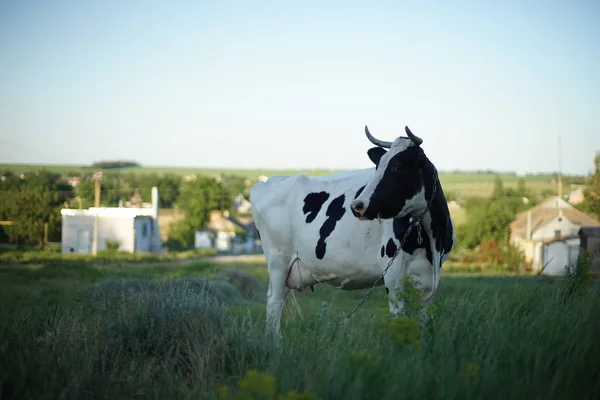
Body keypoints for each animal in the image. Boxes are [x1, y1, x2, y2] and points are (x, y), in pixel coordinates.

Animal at [248, 125, 454, 338]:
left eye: (397, 167)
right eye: (378, 166)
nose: (357, 206)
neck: (431, 240)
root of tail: (268, 181)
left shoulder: (430, 277)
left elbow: (422, 321)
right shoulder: (393, 272)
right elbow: (399, 318)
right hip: (277, 260)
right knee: (274, 301)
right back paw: (275, 342)